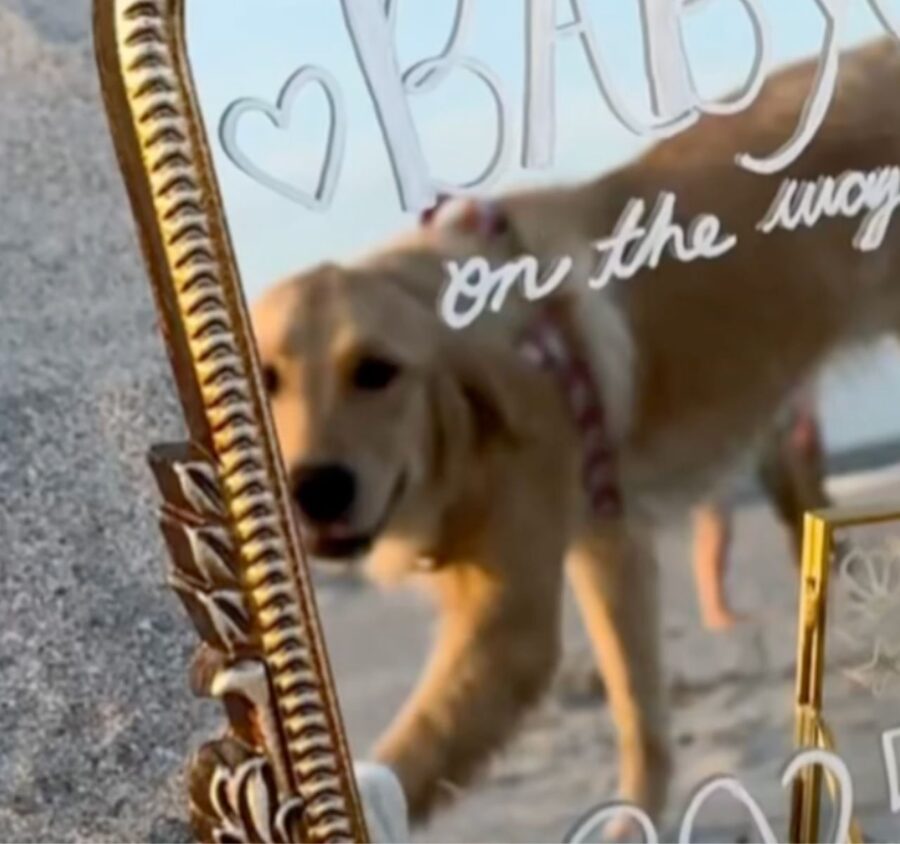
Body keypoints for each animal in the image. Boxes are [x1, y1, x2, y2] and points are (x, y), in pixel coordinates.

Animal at [250, 38, 900, 824]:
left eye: (377, 371)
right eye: (266, 379)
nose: (315, 490)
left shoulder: (515, 621)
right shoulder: (608, 546)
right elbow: (643, 720)